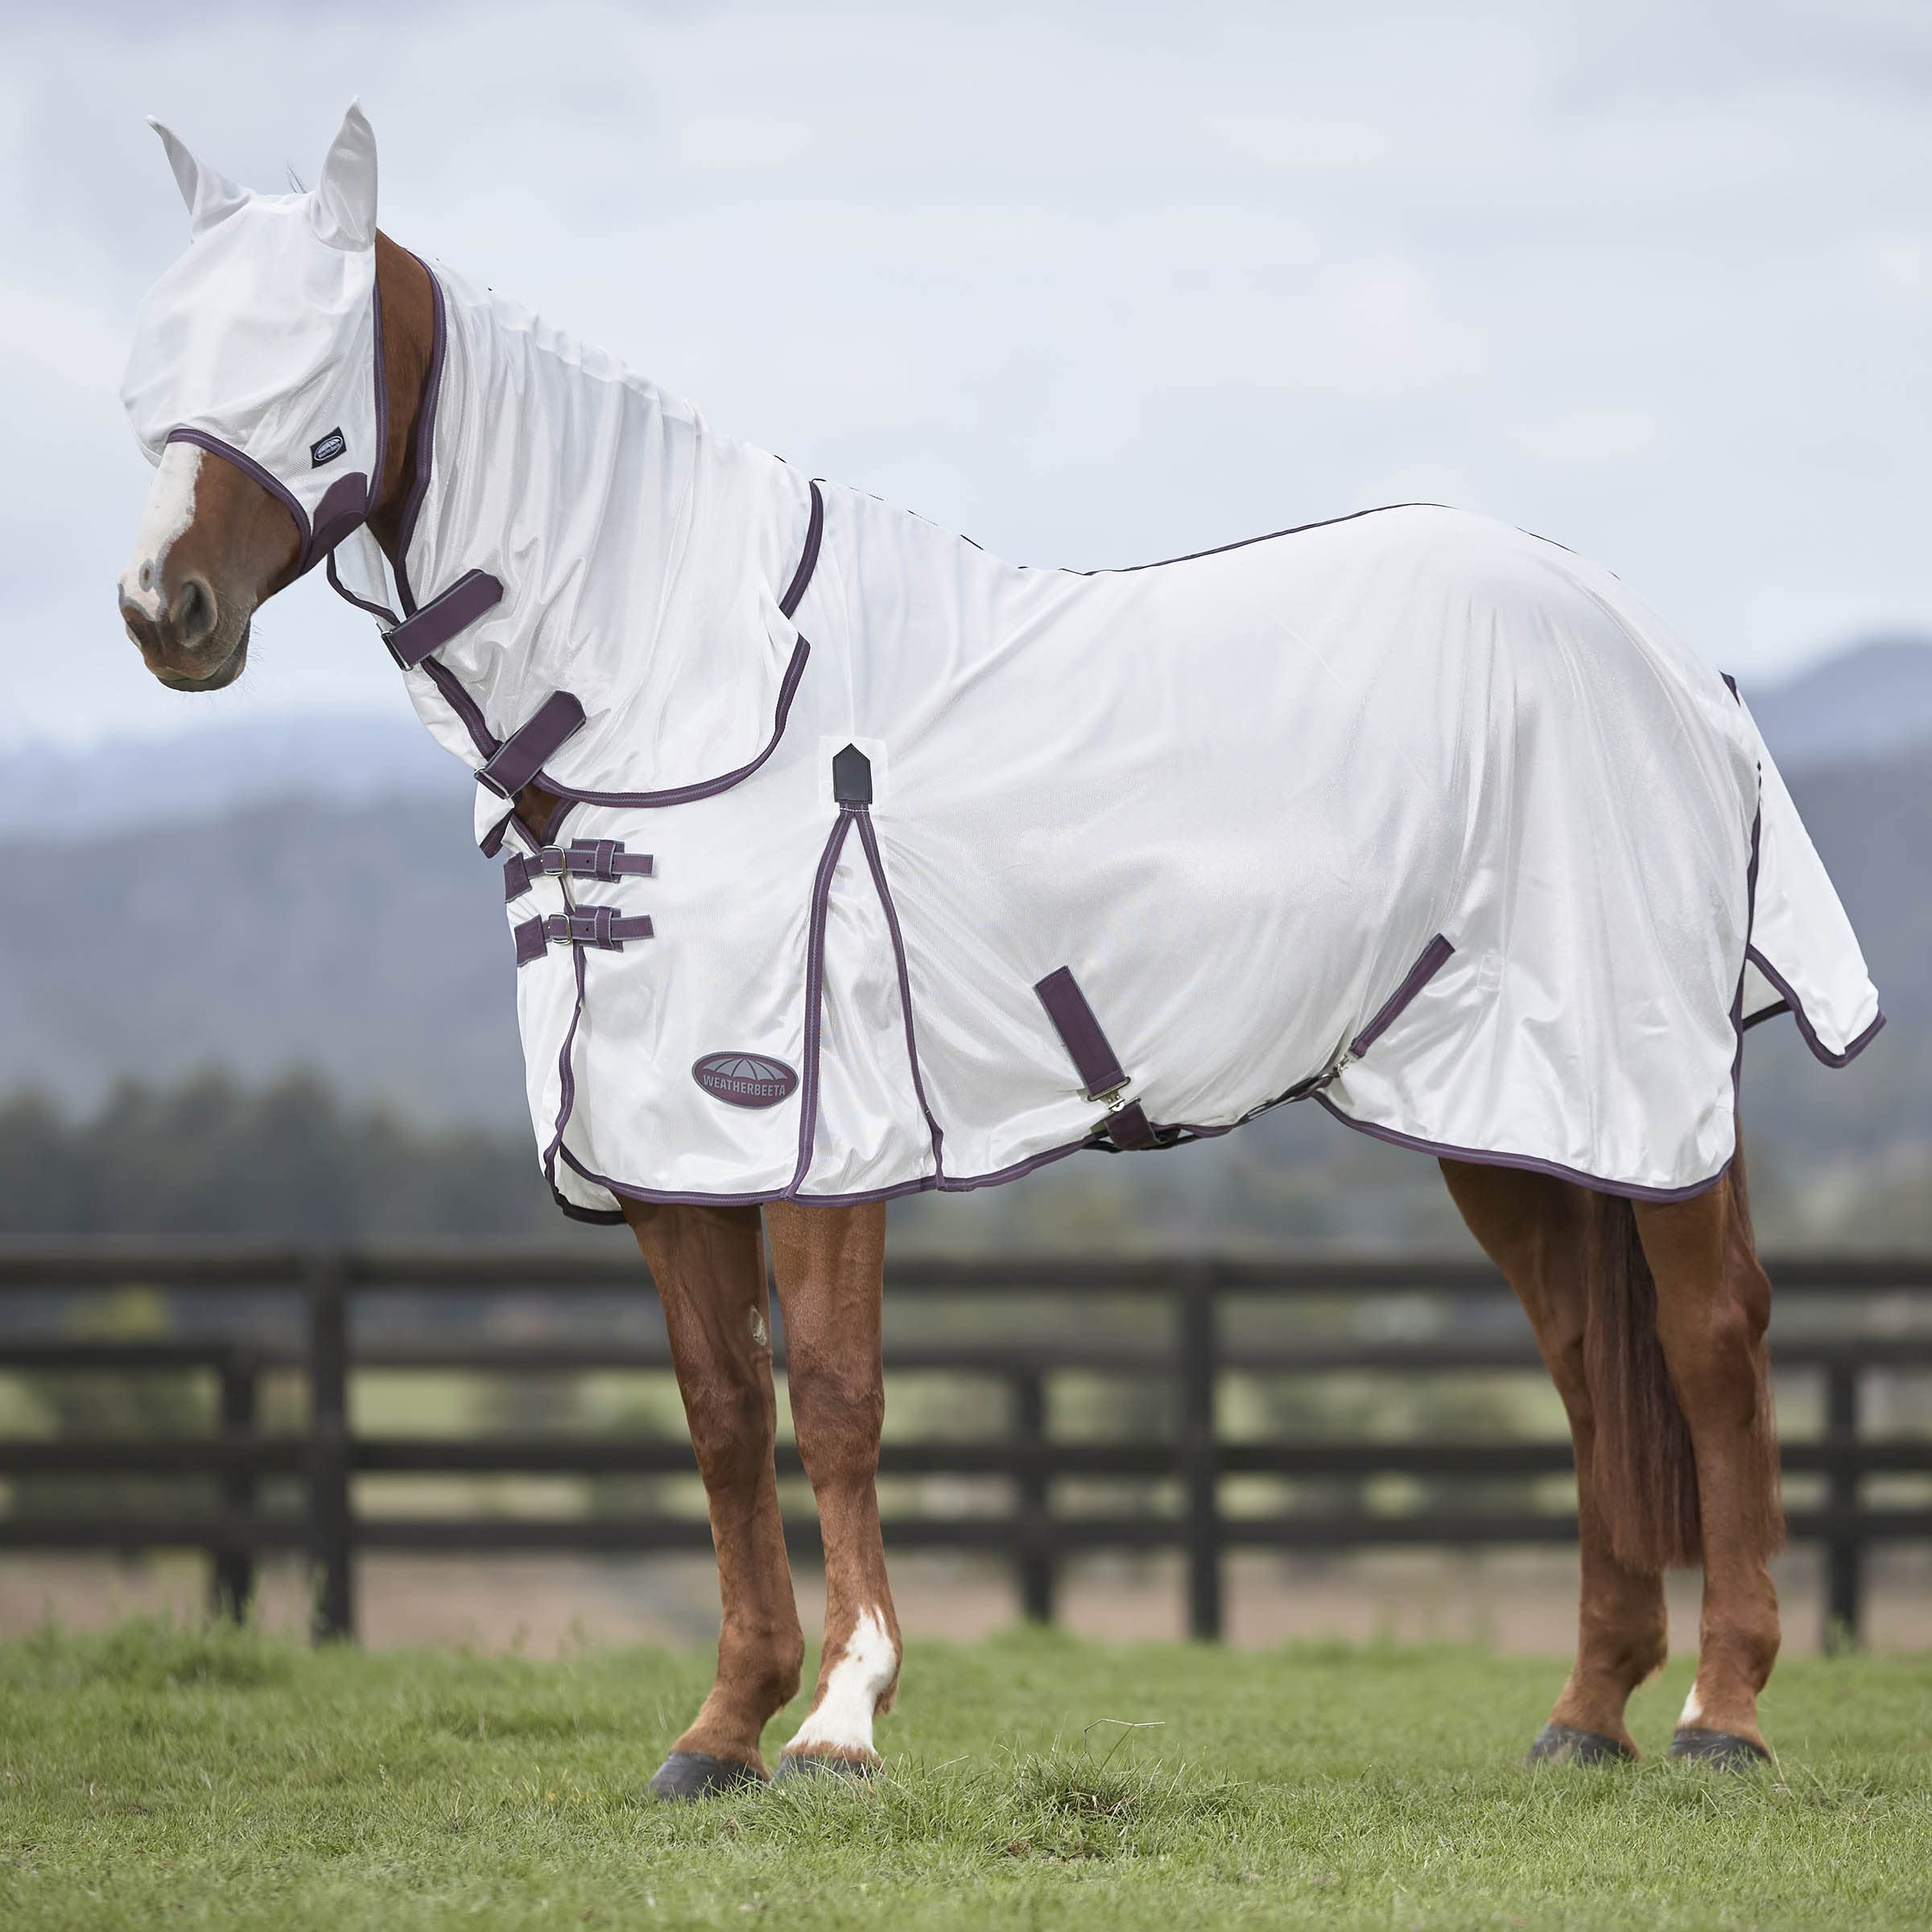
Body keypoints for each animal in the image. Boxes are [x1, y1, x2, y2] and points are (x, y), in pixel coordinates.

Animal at [116, 105, 1882, 1795]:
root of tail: (1673, 657)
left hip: (1644, 1086)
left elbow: (834, 1398)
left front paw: (839, 1722)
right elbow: (718, 1414)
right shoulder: (666, 1144)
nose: (162, 610)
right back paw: (1587, 1714)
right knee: (1587, 1366)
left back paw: (1725, 1714)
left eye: (311, 376)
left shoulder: (815, 1129)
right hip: (1501, 1108)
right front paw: (720, 1730)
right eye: (154, 368)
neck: (690, 694)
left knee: (1713, 1345)